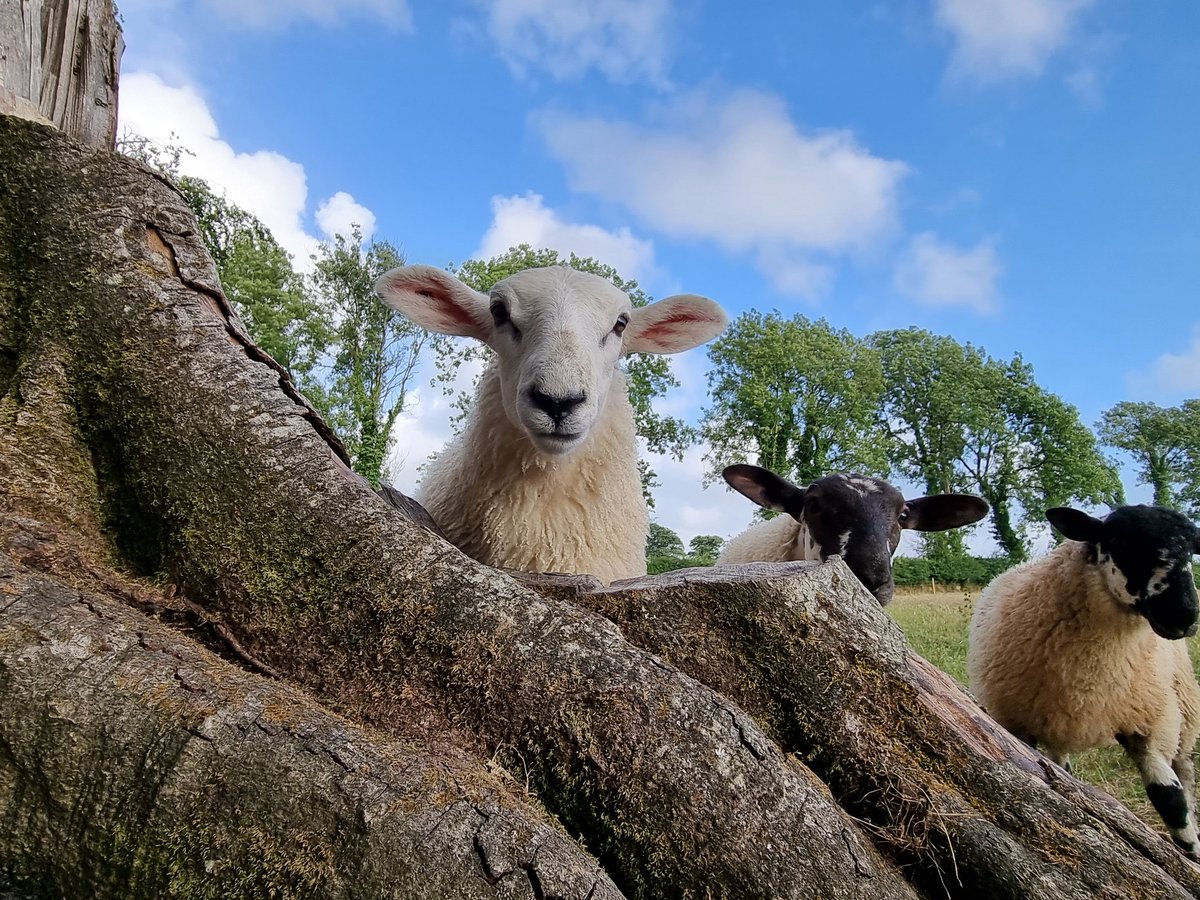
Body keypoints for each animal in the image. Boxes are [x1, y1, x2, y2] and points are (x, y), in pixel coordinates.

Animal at [969, 508, 1200, 859]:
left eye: (1191, 553)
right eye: (1120, 542)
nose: (1185, 615)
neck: (1091, 676)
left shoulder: (1150, 720)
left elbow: (1170, 798)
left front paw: (1191, 851)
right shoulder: (1012, 723)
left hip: (1183, 709)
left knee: (1185, 770)